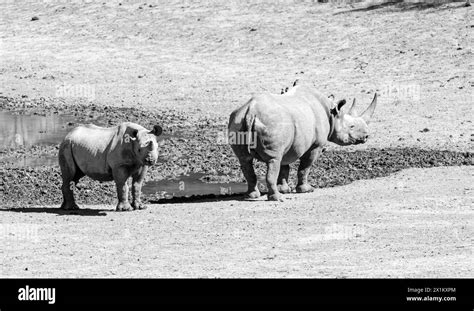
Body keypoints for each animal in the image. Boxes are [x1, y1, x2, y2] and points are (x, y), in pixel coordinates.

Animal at [230, 85, 378, 202]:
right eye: (351, 126)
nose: (366, 136)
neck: (332, 114)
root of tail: (250, 111)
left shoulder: (288, 144)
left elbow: (284, 167)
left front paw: (284, 189)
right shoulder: (316, 146)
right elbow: (305, 167)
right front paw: (306, 189)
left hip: (237, 120)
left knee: (245, 160)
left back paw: (252, 196)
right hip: (272, 124)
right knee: (273, 160)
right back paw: (277, 198)